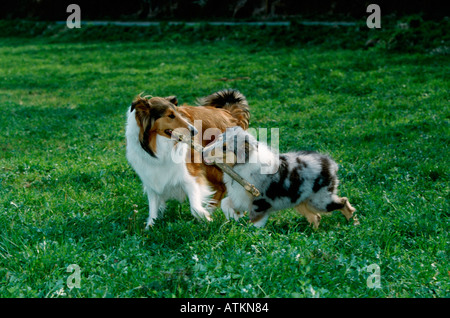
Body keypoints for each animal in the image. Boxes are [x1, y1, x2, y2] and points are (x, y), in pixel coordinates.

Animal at [203, 126, 356, 229]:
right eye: (218, 139)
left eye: (224, 148)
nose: (203, 152)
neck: (240, 166)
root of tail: (330, 164)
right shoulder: (240, 196)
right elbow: (225, 203)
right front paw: (234, 218)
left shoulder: (260, 201)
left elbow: (255, 222)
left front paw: (249, 233)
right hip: (303, 202)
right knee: (316, 217)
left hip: (320, 200)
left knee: (344, 202)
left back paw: (353, 223)